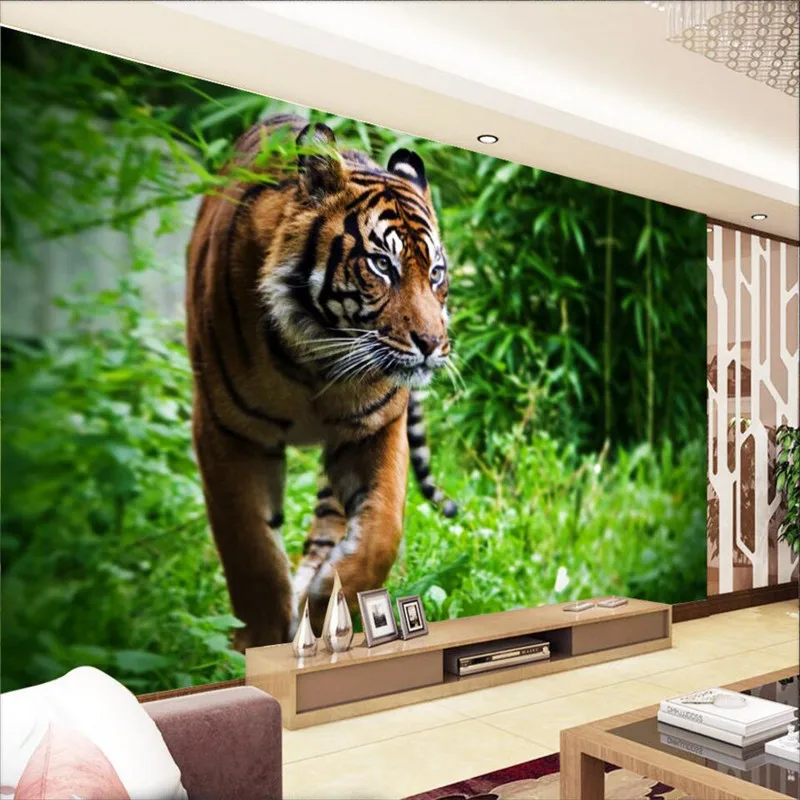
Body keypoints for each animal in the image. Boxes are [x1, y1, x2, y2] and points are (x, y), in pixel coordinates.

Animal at [186, 113, 456, 649]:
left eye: (436, 272)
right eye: (382, 264)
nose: (433, 343)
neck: (315, 362)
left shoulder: (377, 428)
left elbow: (381, 533)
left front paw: (325, 606)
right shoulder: (225, 431)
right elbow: (249, 548)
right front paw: (260, 641)